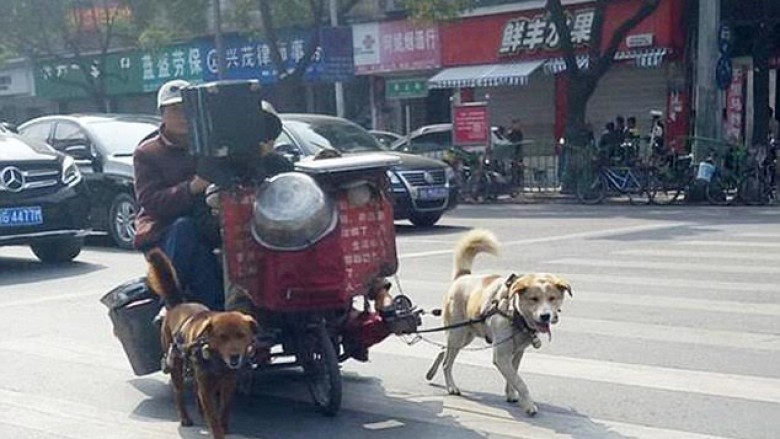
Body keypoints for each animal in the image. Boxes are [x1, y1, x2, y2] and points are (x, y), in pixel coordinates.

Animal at [149, 249, 262, 438]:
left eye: (241, 335)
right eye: (222, 337)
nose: (234, 357)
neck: (217, 358)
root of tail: (178, 304)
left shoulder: (228, 383)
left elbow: (224, 410)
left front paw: (224, 427)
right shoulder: (207, 387)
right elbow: (213, 415)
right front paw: (217, 431)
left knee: (196, 390)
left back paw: (200, 412)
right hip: (176, 366)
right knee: (179, 394)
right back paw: (185, 417)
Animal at [426, 229, 572, 418]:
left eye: (552, 298)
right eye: (534, 299)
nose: (546, 316)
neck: (515, 314)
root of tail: (463, 276)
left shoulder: (517, 353)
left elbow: (513, 377)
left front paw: (511, 395)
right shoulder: (501, 356)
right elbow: (520, 382)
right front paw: (529, 404)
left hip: (465, 335)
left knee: (443, 351)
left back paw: (431, 374)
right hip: (457, 334)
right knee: (447, 362)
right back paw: (451, 386)